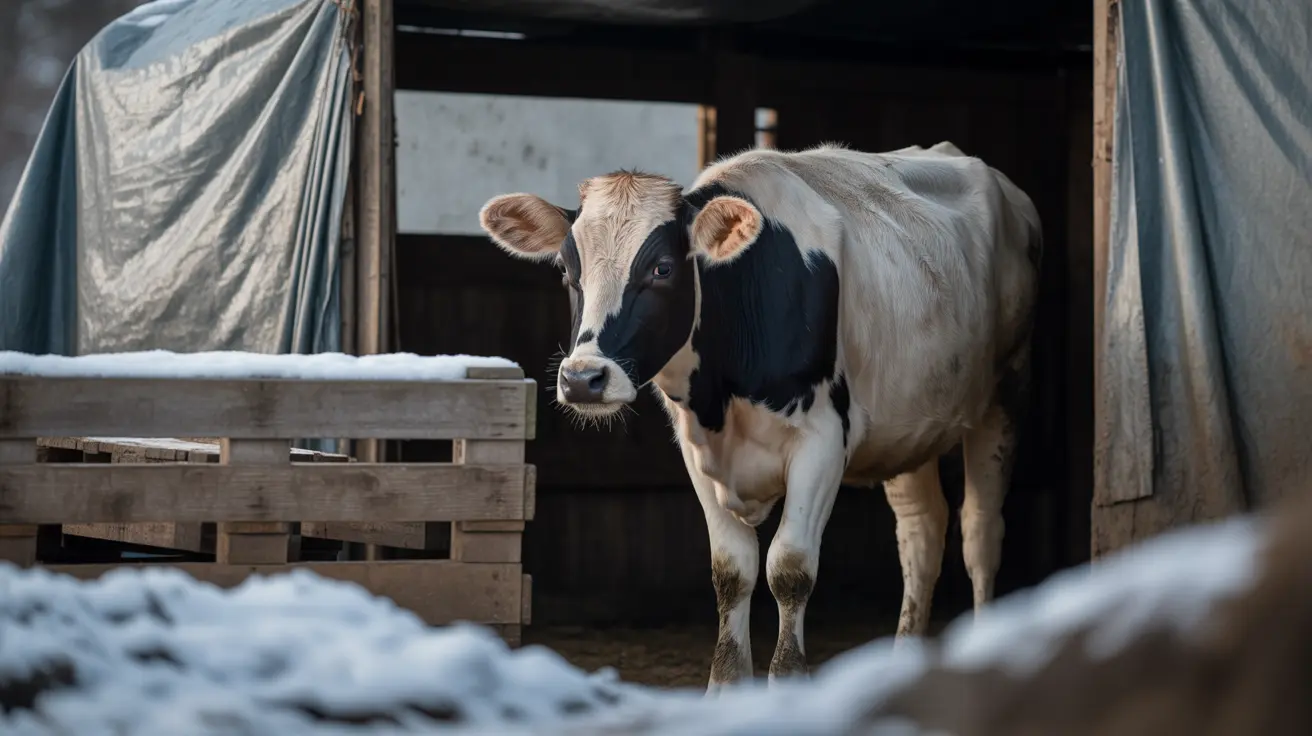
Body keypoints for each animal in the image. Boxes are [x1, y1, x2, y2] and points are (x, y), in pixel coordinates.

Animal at [478, 141, 1043, 690]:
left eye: (662, 269)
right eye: (567, 272)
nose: (582, 378)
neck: (722, 394)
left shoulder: (824, 442)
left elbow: (789, 569)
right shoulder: (696, 450)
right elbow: (733, 571)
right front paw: (726, 685)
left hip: (1006, 395)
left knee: (980, 531)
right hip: (907, 427)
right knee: (922, 532)